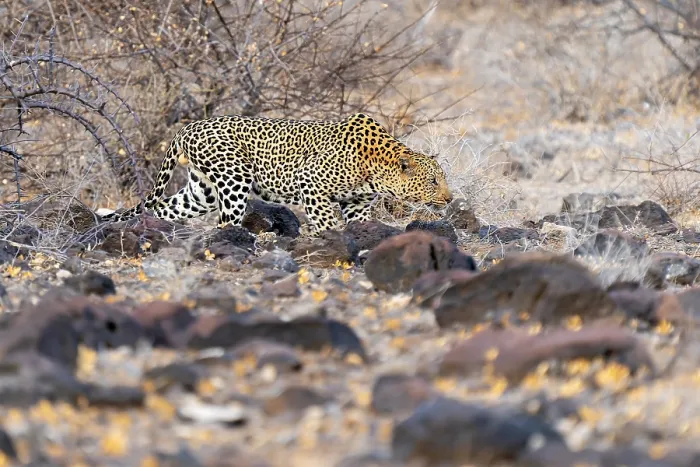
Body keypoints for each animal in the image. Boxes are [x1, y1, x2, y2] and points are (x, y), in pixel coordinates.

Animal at [100, 112, 453, 234]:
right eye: (433, 181)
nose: (449, 199)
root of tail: (187, 126)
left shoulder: (357, 203)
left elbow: (357, 223)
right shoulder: (310, 180)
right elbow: (327, 221)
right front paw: (329, 237)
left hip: (201, 192)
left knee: (165, 207)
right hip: (235, 178)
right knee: (225, 221)